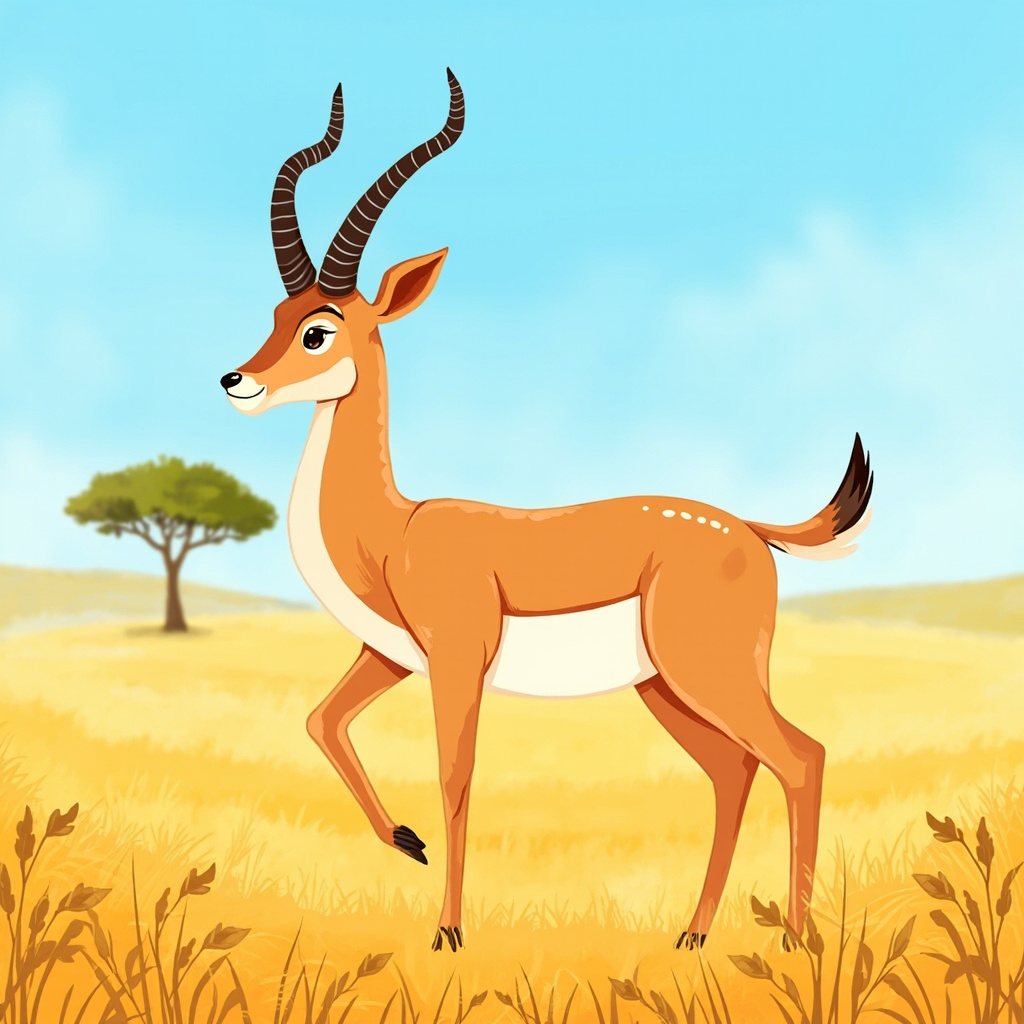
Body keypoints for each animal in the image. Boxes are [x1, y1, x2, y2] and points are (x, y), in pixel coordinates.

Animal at [221, 71, 873, 953]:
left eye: (320, 330)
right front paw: (407, 843)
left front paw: (448, 933)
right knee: (733, 769)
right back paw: (694, 936)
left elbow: (455, 776)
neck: (393, 533)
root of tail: (751, 529)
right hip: (664, 687)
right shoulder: (390, 656)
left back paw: (795, 941)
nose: (237, 381)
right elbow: (322, 721)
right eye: (276, 317)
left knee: (799, 756)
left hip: (707, 674)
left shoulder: (456, 660)